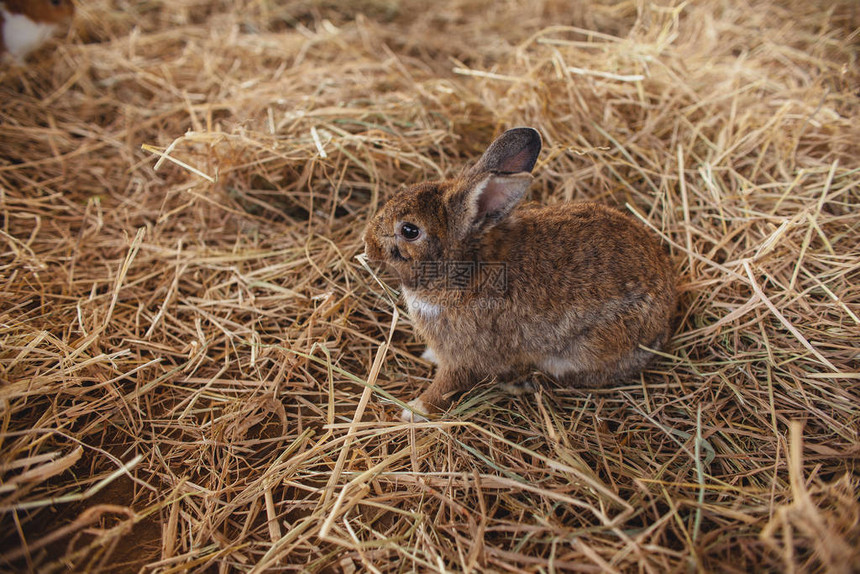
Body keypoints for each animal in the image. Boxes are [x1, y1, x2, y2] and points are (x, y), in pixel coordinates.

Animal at [362, 128, 680, 420]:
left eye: (409, 231)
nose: (368, 244)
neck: (463, 264)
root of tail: (665, 320)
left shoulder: (465, 354)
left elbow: (446, 385)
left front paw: (414, 410)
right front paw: (428, 357)